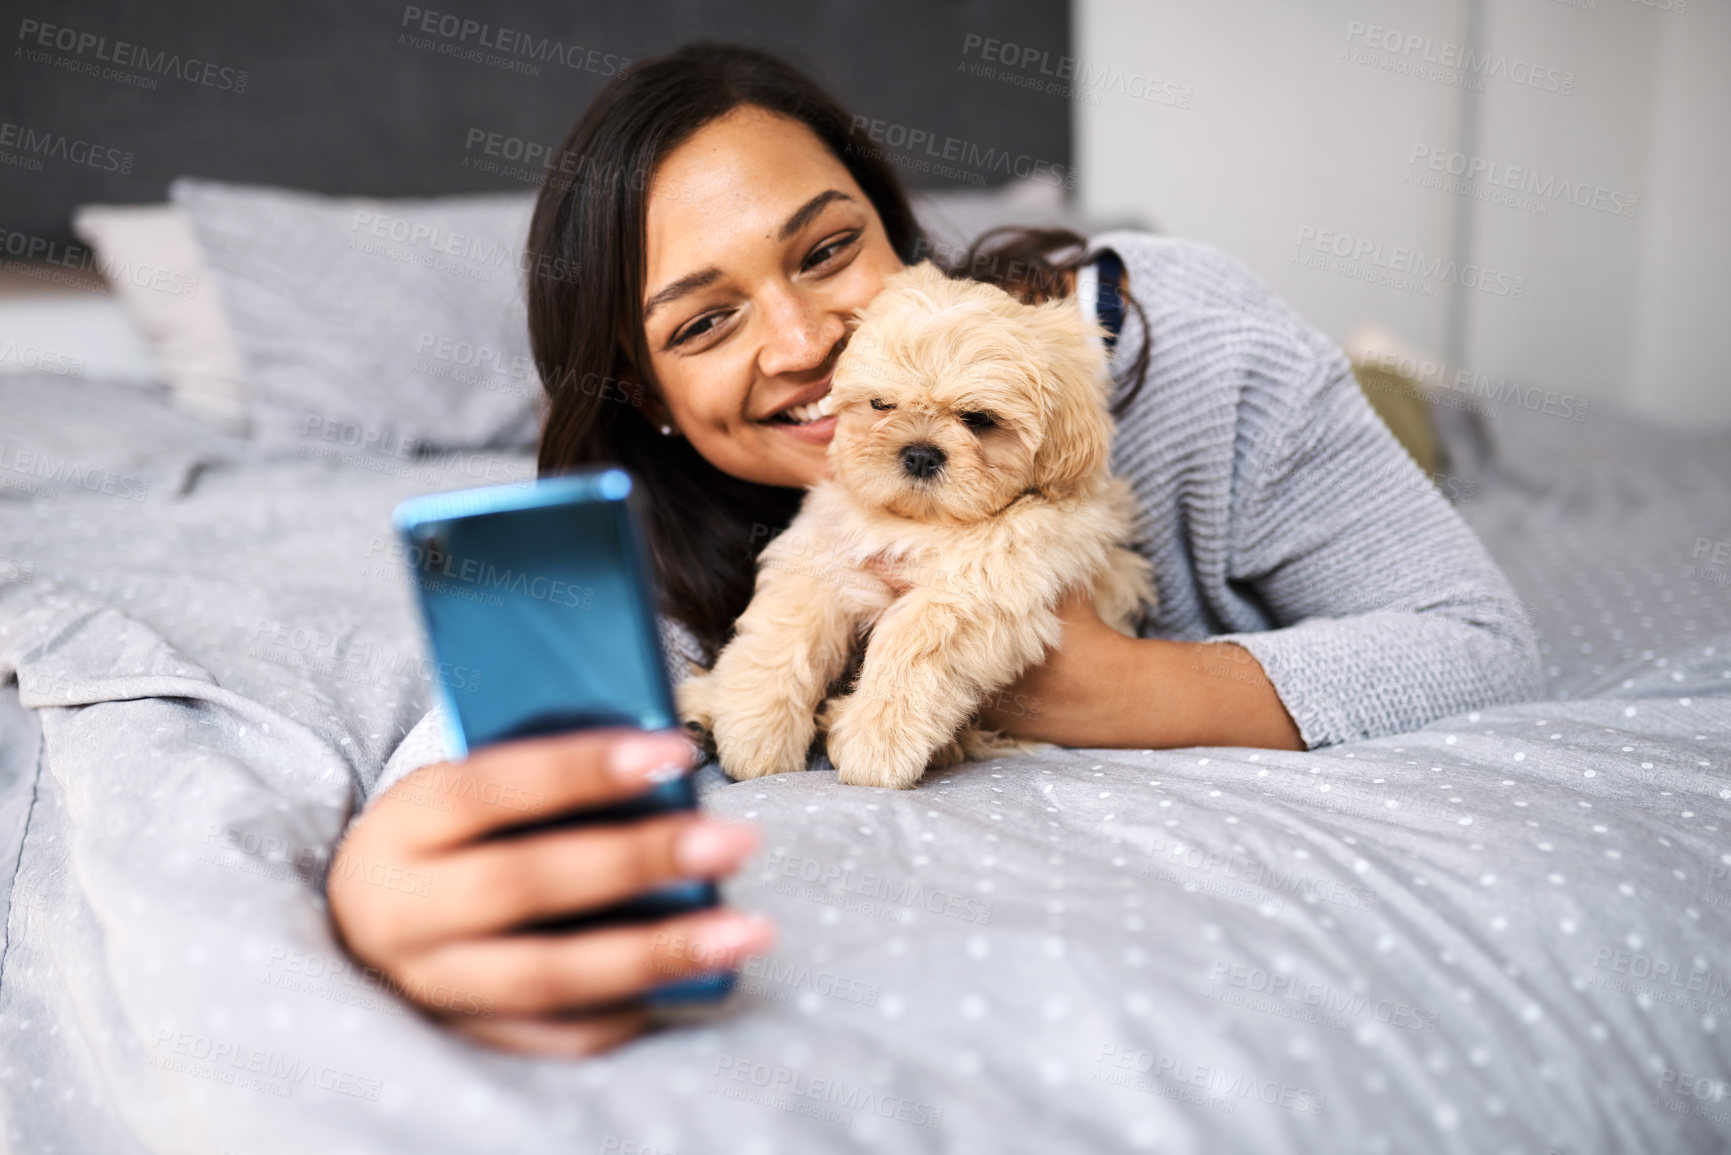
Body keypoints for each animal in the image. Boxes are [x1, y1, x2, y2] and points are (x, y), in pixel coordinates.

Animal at [682, 258, 1156, 789]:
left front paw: (876, 739)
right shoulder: (824, 550)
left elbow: (914, 636)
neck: (921, 523)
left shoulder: (982, 587)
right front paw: (756, 730)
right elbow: (787, 630)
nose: (921, 453)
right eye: (881, 405)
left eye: (979, 419)